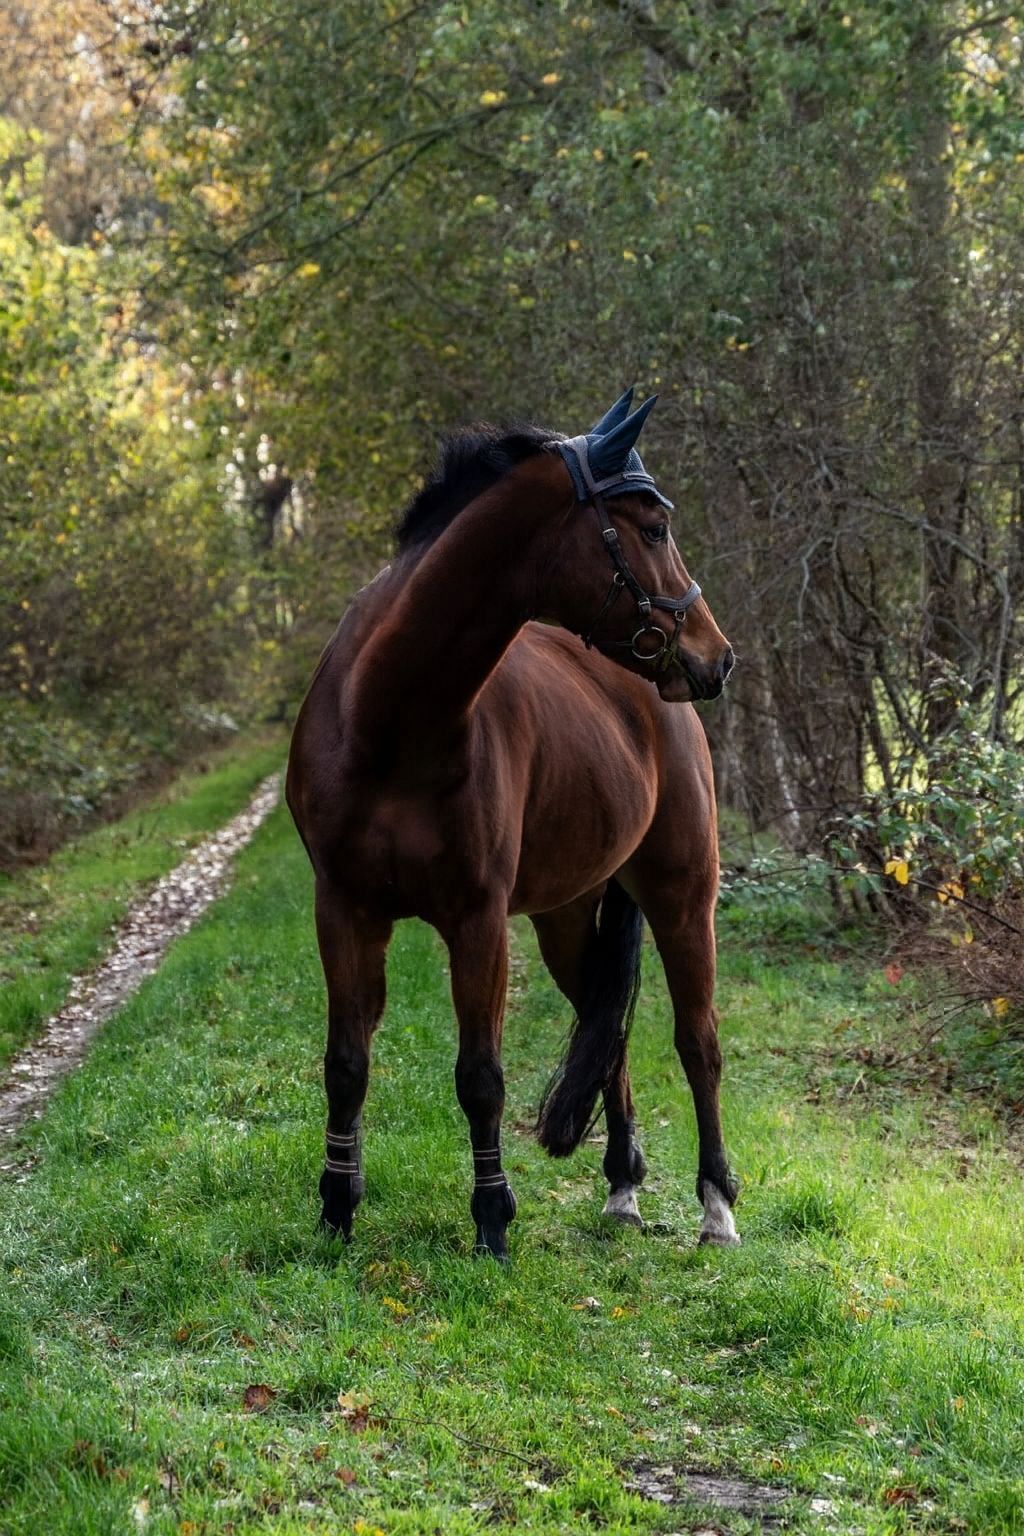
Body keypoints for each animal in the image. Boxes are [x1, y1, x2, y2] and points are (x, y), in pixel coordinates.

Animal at [286, 389, 739, 1258]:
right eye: (654, 528)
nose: (717, 654)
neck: (388, 720)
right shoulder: (342, 909)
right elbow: (346, 1064)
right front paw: (335, 1211)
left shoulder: (478, 920)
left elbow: (480, 1077)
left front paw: (492, 1222)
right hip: (566, 916)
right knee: (608, 1027)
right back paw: (622, 1187)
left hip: (681, 894)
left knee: (697, 1041)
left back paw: (717, 1207)